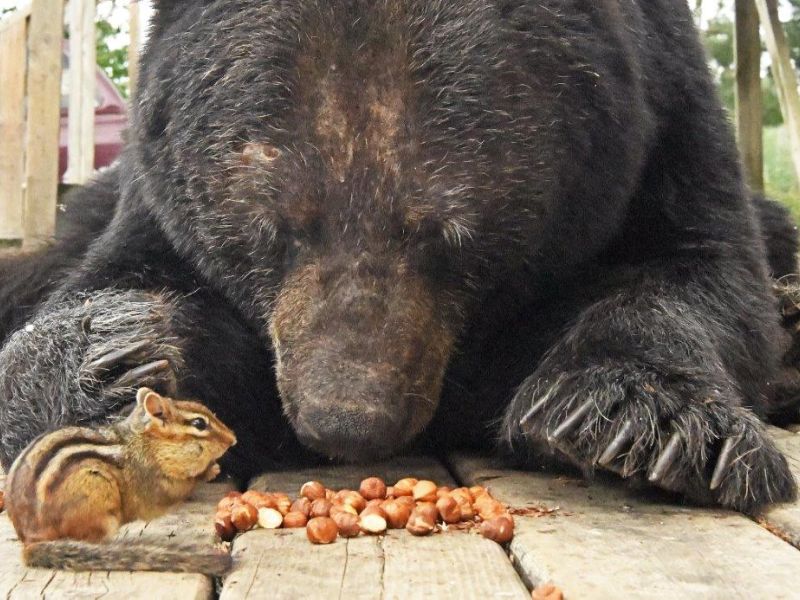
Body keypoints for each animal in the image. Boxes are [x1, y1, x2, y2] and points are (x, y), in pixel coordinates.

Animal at [1, 0, 799, 513]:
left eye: (451, 235)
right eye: (273, 228)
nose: (346, 421)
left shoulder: (663, 114)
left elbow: (703, 269)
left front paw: (639, 420)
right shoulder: (156, 201)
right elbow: (119, 279)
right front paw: (114, 361)